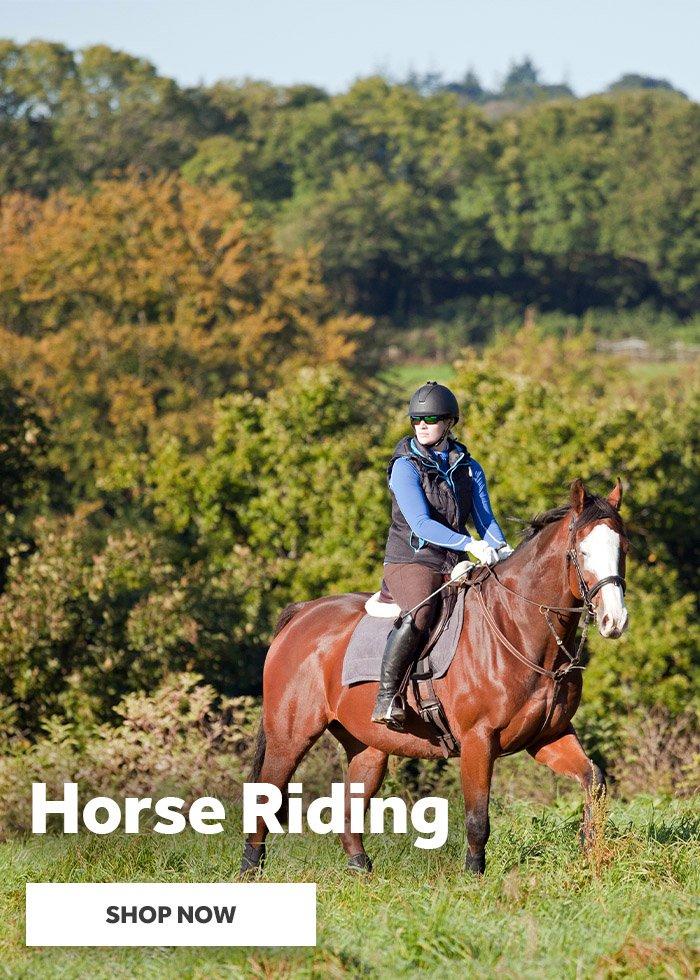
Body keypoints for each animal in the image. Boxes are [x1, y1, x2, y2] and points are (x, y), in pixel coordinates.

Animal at [240, 478, 629, 876]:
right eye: (581, 551)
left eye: (623, 548)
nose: (614, 621)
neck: (518, 628)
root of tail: (303, 613)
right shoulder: (478, 741)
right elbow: (477, 818)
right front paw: (474, 877)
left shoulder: (549, 736)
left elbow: (594, 781)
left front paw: (592, 856)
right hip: (291, 737)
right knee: (267, 794)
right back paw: (250, 868)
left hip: (367, 747)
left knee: (348, 811)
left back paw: (362, 871)